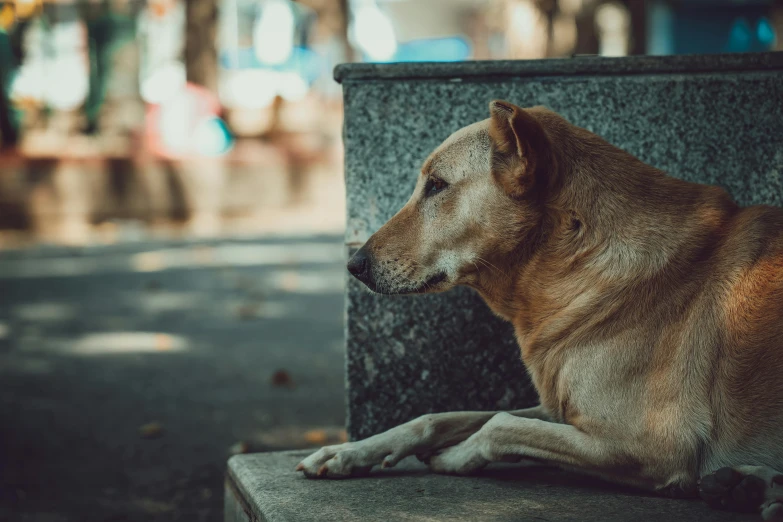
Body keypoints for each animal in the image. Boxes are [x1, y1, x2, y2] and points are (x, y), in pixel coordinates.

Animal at [296, 100, 783, 516]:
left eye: (436, 186)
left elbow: (499, 424)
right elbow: (438, 416)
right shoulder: (559, 409)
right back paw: (748, 487)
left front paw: (456, 456)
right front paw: (349, 452)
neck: (575, 261)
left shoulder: (656, 447)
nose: (354, 265)